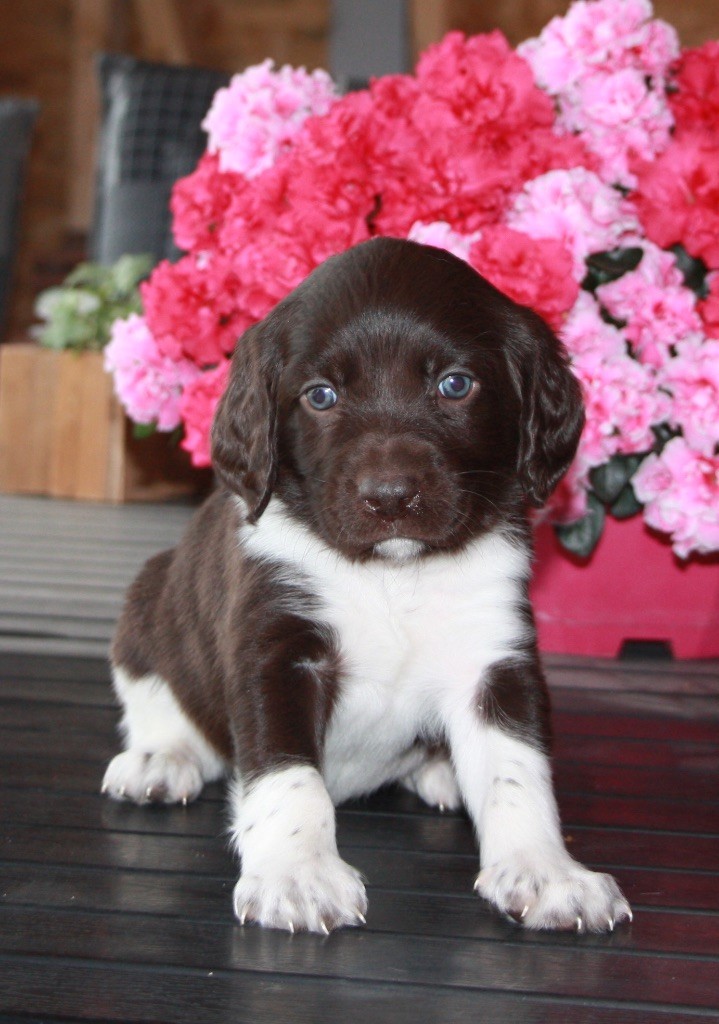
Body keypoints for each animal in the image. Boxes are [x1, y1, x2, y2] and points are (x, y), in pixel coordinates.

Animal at [102, 236, 632, 935]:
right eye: (321, 396)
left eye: (454, 385)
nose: (390, 498)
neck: (391, 575)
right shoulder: (277, 653)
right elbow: (287, 775)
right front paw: (296, 873)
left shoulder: (493, 658)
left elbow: (518, 771)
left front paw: (547, 872)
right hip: (149, 599)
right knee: (158, 696)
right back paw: (161, 758)